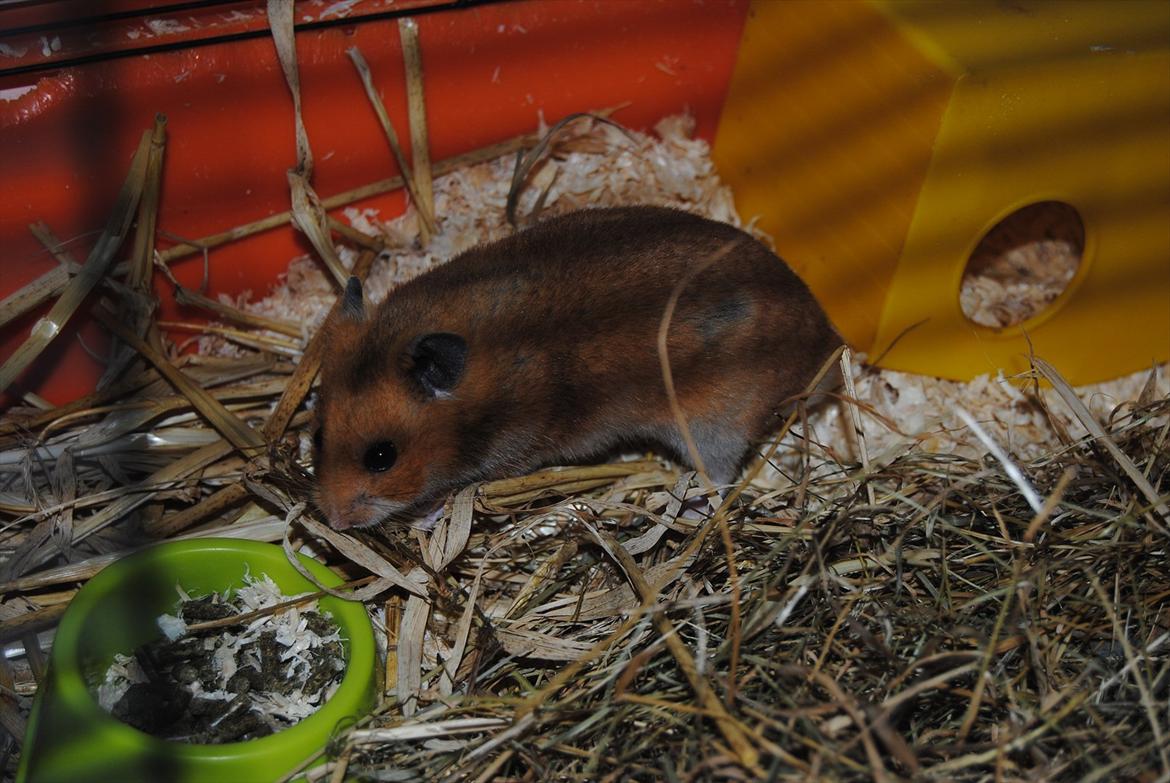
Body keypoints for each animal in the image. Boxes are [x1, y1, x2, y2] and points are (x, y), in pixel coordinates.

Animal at [313, 206, 840, 530]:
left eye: (382, 457)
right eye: (317, 436)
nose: (334, 522)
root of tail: (830, 349)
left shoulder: (511, 453)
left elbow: (456, 491)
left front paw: (424, 518)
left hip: (715, 425)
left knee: (722, 477)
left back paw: (688, 512)